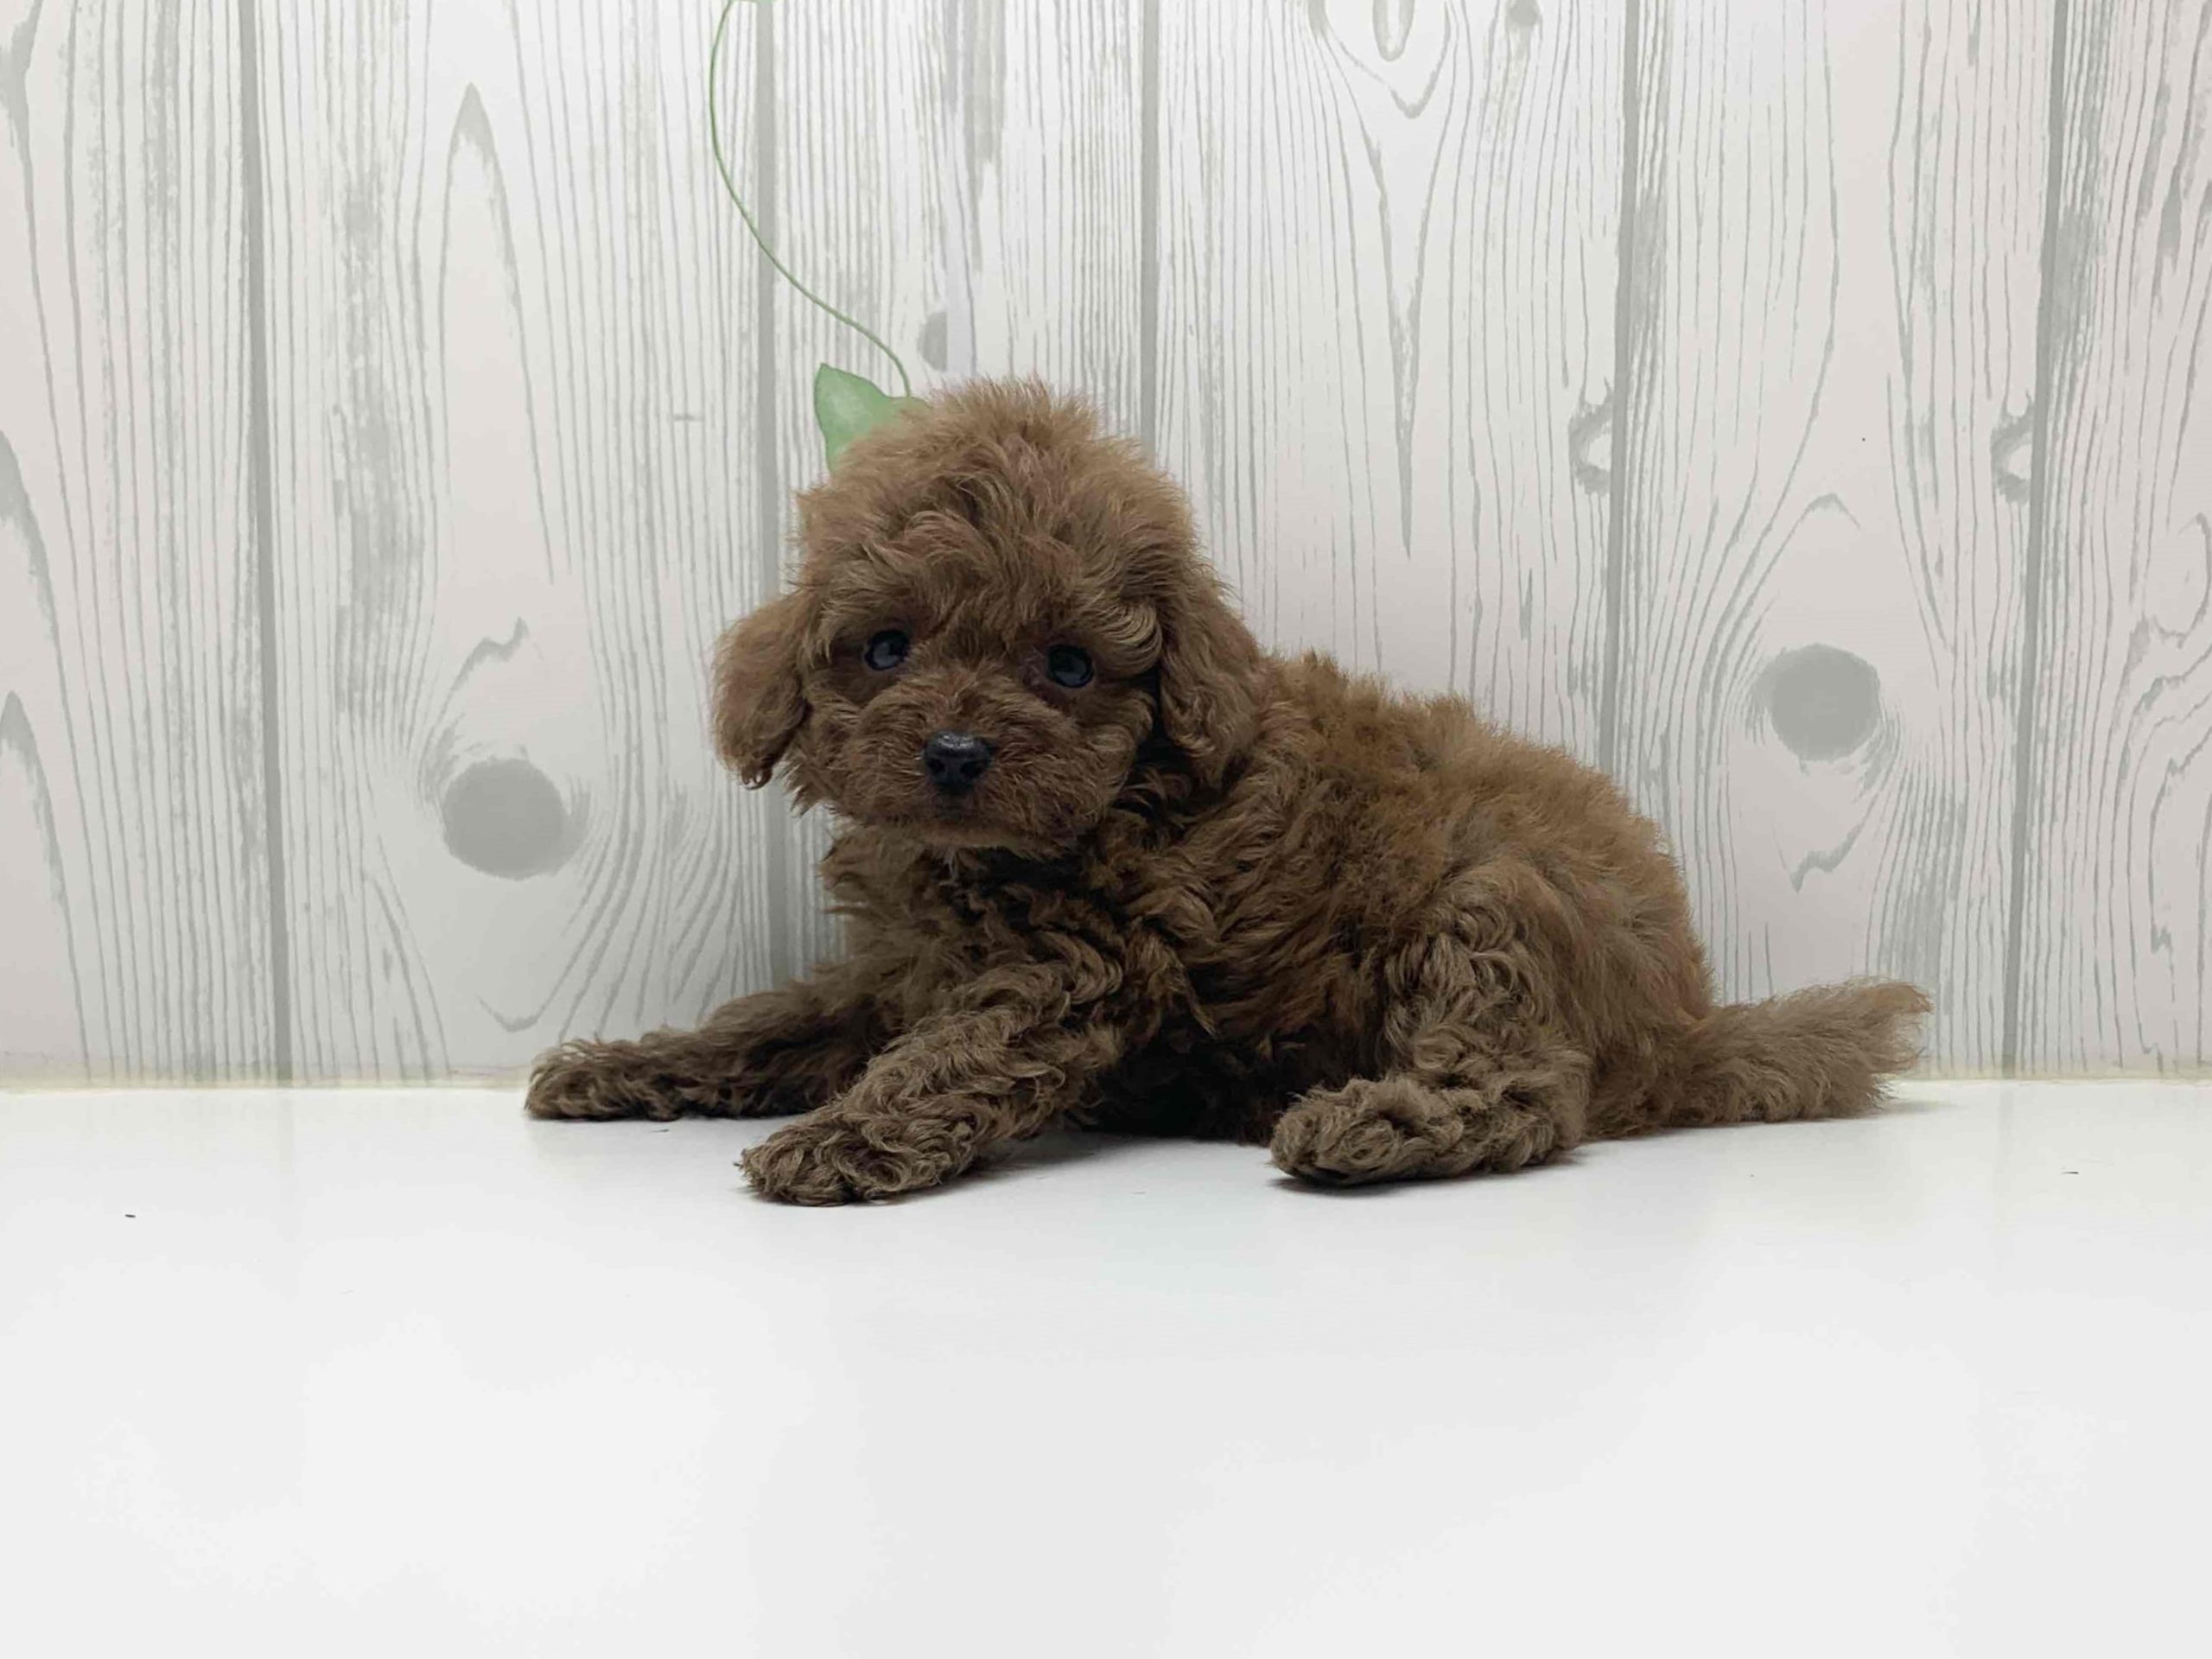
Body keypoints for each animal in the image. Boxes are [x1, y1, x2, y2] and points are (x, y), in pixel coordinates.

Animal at [527, 379, 1928, 1204]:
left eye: (1068, 665)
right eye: (886, 650)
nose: (959, 753)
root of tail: (1685, 1020)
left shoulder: (1075, 971)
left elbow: (952, 1058)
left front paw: (841, 1140)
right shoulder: (891, 974)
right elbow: (765, 1022)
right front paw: (621, 1066)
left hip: (1497, 902)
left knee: (1526, 1094)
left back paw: (1364, 1127)